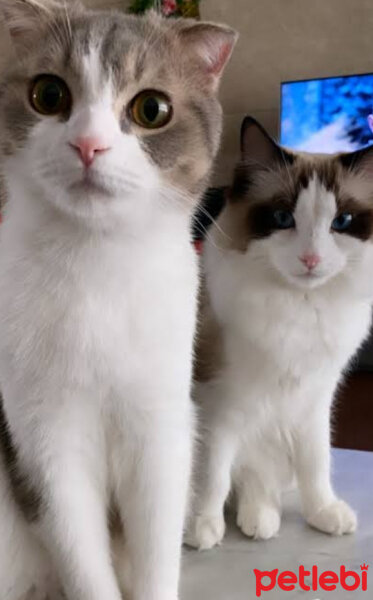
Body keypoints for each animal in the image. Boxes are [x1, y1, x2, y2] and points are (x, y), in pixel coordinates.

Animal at [0, 1, 234, 600]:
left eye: (152, 108)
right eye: (49, 94)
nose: (88, 144)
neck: (95, 264)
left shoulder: (161, 428)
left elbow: (156, 546)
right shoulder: (45, 439)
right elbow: (81, 555)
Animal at [187, 116, 372, 548]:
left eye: (341, 222)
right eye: (283, 219)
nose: (311, 259)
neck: (299, 307)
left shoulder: (315, 398)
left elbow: (316, 463)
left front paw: (323, 511)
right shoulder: (220, 405)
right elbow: (213, 476)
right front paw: (202, 526)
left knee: (259, 479)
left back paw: (261, 518)